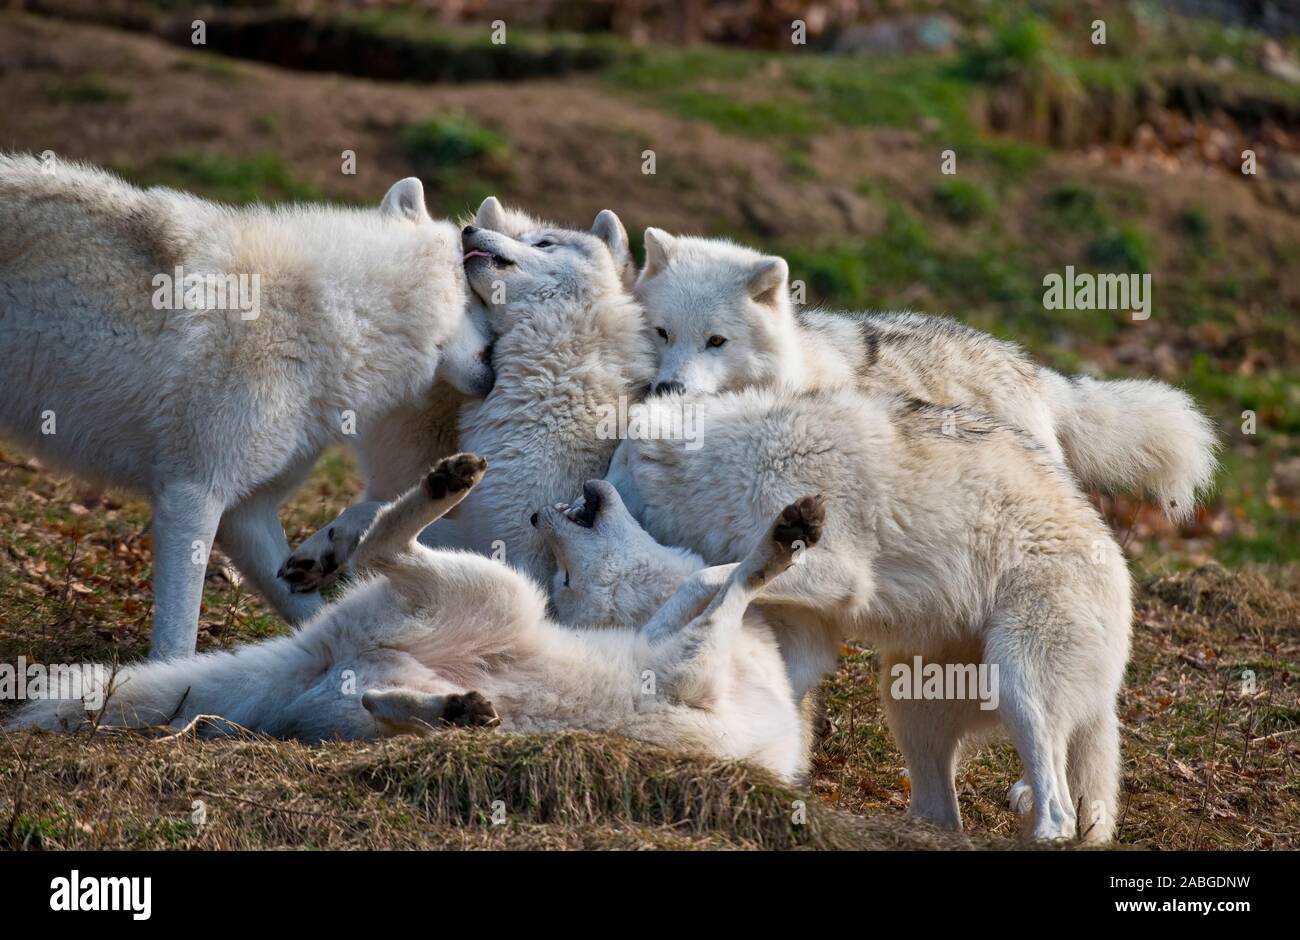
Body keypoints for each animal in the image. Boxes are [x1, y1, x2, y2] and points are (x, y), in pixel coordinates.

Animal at [0, 154, 494, 658]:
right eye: (479, 301)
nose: (497, 356)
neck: (338, 316)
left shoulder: (246, 512)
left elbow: (307, 611)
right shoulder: (192, 496)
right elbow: (178, 638)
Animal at [9, 454, 815, 784]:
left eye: (564, 570)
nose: (540, 512)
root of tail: (311, 653)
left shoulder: (686, 665)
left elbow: (717, 594)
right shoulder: (685, 666)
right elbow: (733, 586)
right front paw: (780, 542)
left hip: (372, 701)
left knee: (380, 700)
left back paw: (456, 710)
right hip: (501, 591)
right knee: (379, 546)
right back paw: (445, 484)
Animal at [279, 198, 654, 591]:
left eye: (544, 243)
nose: (469, 230)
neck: (555, 372)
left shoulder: (525, 552)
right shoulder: (485, 529)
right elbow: (370, 509)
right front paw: (320, 546)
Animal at [608, 387, 1133, 842]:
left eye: (614, 467)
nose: (588, 495)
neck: (734, 465)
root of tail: (1120, 569)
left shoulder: (838, 576)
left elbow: (702, 577)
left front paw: (651, 634)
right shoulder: (808, 627)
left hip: (1018, 685)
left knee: (1059, 812)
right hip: (911, 704)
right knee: (942, 812)